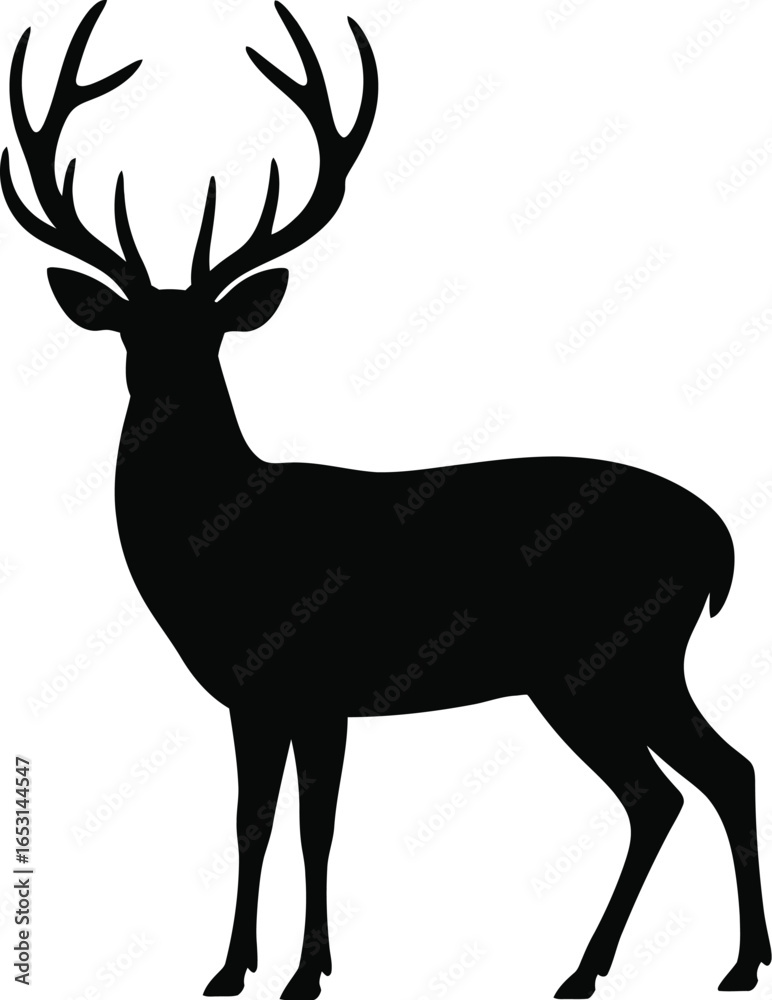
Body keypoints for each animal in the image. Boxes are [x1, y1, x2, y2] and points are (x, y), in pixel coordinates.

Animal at [3, 1, 770, 997]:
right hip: (621, 667)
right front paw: (231, 969)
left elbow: (314, 827)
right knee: (708, 777)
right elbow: (253, 821)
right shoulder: (253, 695)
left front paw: (304, 973)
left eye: (211, 333)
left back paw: (623, 968)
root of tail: (720, 540)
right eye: (131, 329)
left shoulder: (318, 680)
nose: (166, 391)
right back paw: (715, 963)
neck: (223, 545)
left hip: (607, 660)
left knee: (677, 787)